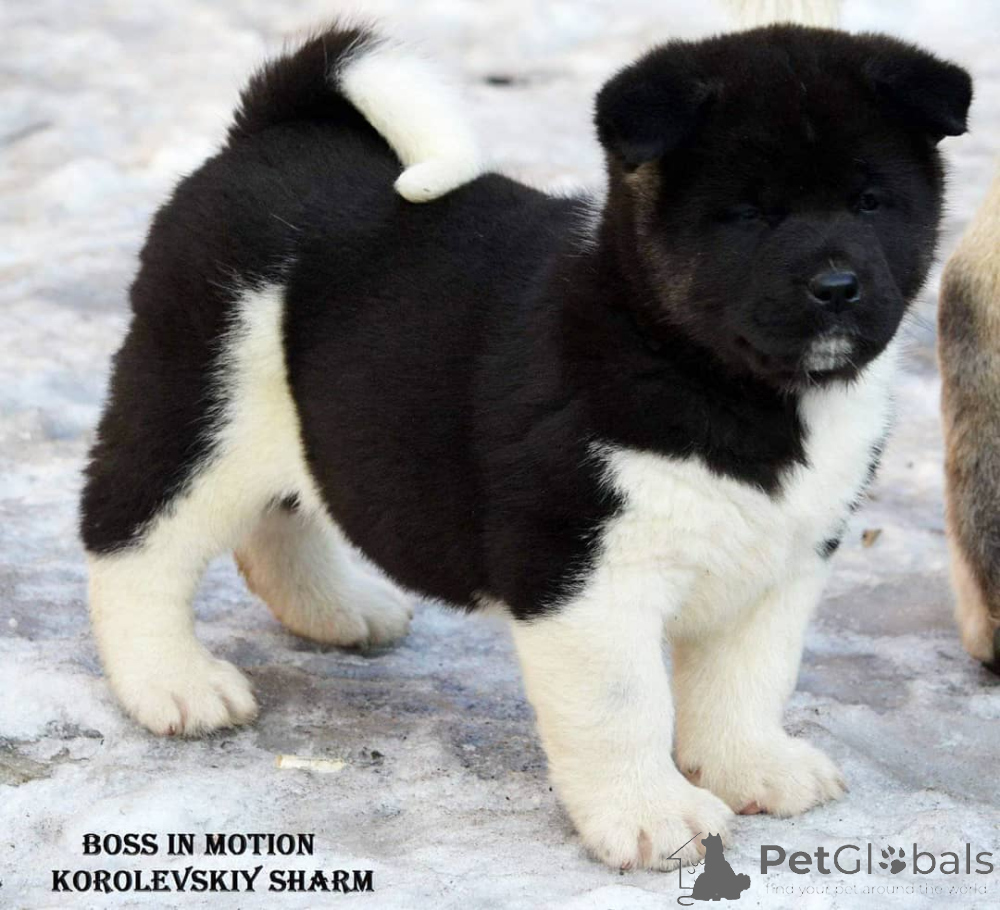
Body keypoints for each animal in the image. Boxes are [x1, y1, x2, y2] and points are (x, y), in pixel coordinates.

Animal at [80, 11, 971, 871]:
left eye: (869, 202)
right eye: (750, 215)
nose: (836, 287)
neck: (712, 375)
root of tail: (269, 129)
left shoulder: (781, 561)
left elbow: (749, 677)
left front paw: (752, 765)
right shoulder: (584, 572)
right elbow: (625, 706)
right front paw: (653, 817)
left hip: (293, 417)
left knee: (282, 515)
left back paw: (338, 610)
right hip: (203, 400)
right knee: (133, 540)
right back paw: (173, 684)